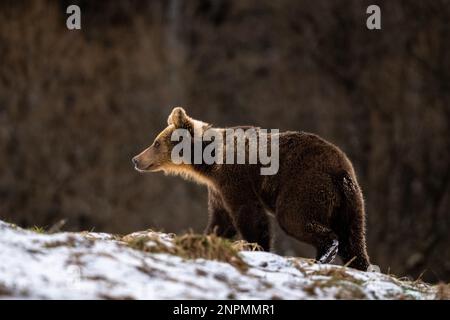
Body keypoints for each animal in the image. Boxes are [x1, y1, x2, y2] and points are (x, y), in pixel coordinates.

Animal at [133, 107, 370, 270]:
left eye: (156, 143)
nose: (136, 159)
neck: (209, 163)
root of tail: (340, 169)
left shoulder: (235, 177)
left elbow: (249, 214)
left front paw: (258, 247)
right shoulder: (217, 189)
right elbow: (221, 220)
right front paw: (207, 236)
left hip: (305, 185)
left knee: (294, 218)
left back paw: (324, 253)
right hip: (351, 200)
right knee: (354, 239)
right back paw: (358, 264)